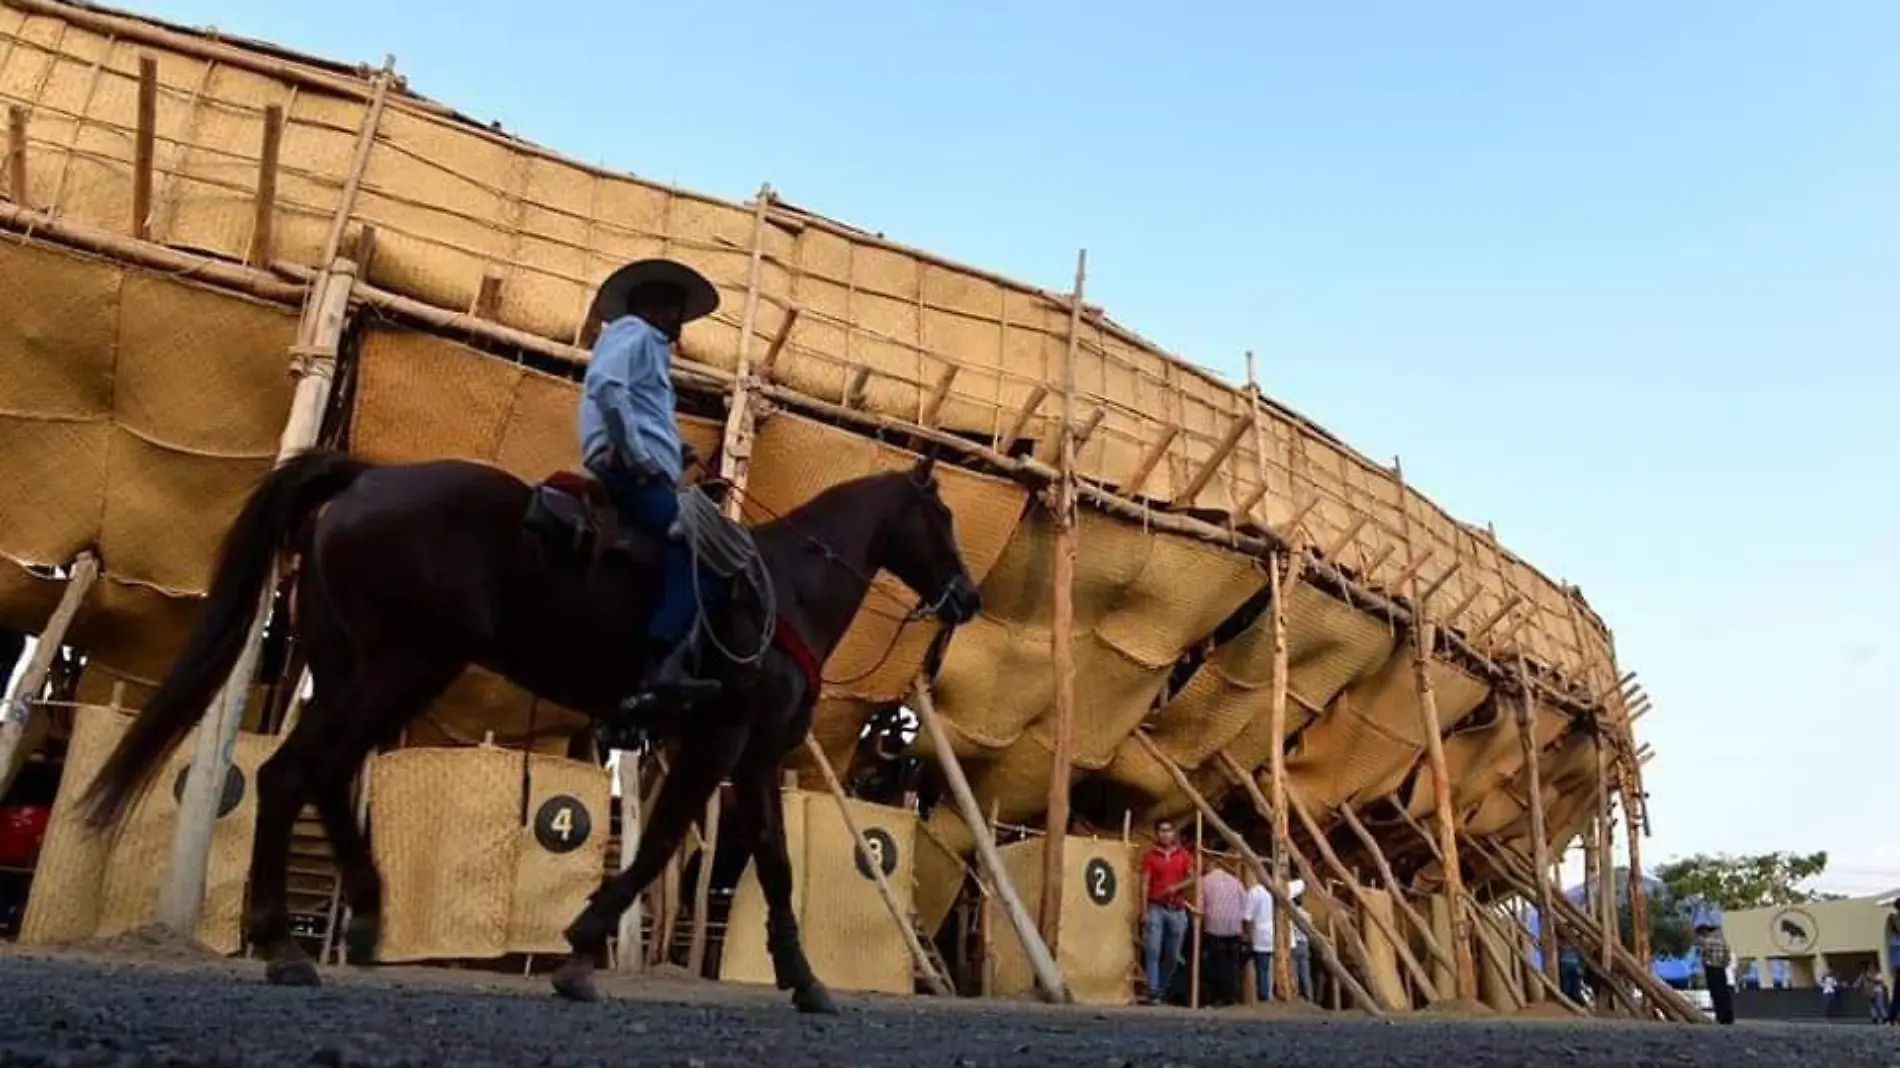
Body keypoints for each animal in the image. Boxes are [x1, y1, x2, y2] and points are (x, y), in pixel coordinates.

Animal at [74, 444, 980, 1010]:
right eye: (943, 520)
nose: (967, 597)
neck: (786, 589)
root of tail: (367, 480)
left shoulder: (756, 757)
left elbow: (777, 866)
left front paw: (804, 980)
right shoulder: (718, 741)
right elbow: (660, 842)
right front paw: (582, 947)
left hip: (355, 669)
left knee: (315, 772)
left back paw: (359, 914)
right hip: (406, 664)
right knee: (297, 771)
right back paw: (287, 944)